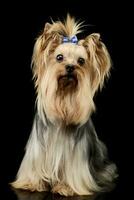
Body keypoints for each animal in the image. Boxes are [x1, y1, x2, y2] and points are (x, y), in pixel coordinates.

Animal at [11, 14, 116, 196]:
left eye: (81, 61)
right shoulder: (37, 150)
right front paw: (32, 183)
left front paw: (66, 187)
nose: (70, 67)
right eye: (59, 57)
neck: (64, 97)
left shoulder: (76, 159)